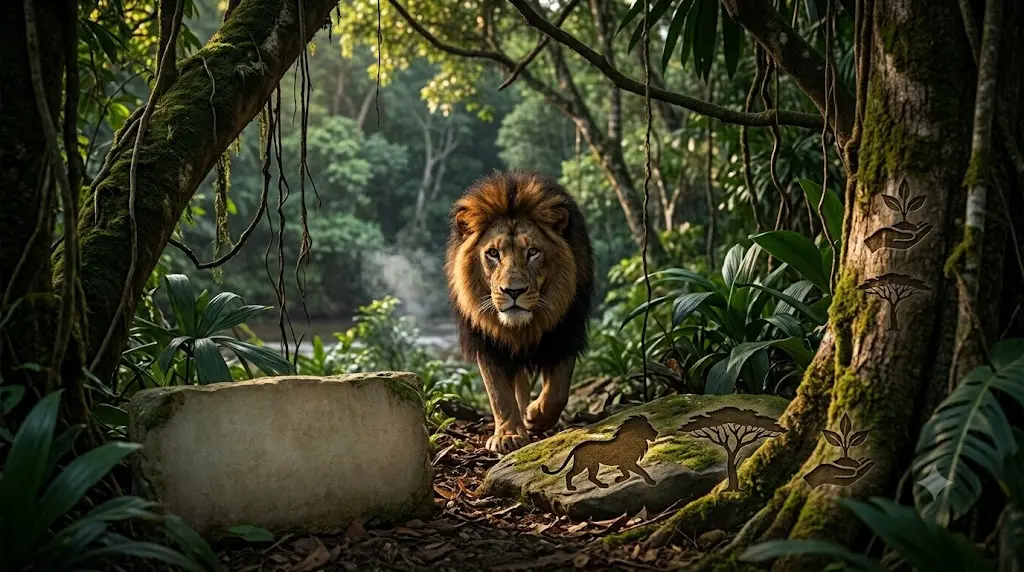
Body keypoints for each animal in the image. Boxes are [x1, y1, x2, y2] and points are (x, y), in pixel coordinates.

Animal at [444, 170, 595, 454]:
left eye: (533, 252)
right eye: (493, 253)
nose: (513, 291)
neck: (522, 327)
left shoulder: (565, 332)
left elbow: (557, 392)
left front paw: (535, 416)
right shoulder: (488, 343)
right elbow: (499, 394)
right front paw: (508, 434)